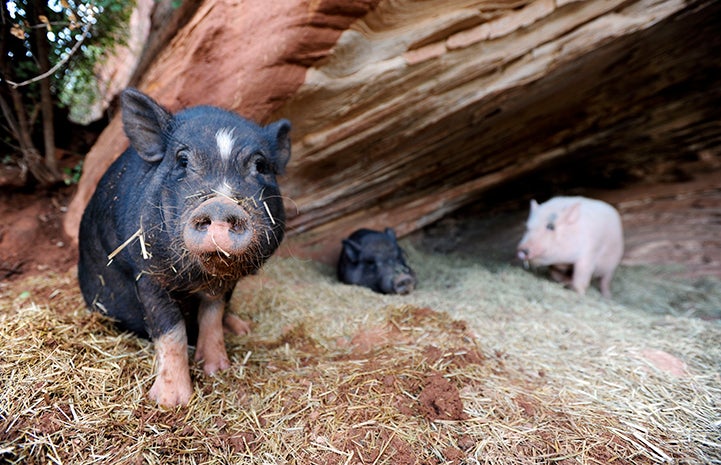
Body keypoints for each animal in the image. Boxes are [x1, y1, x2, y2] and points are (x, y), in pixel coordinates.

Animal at [77, 88, 292, 406]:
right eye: (182, 160)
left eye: (260, 165)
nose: (220, 204)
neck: (199, 277)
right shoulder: (148, 274)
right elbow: (171, 330)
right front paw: (170, 402)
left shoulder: (224, 283)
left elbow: (211, 315)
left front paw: (217, 369)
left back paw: (243, 328)